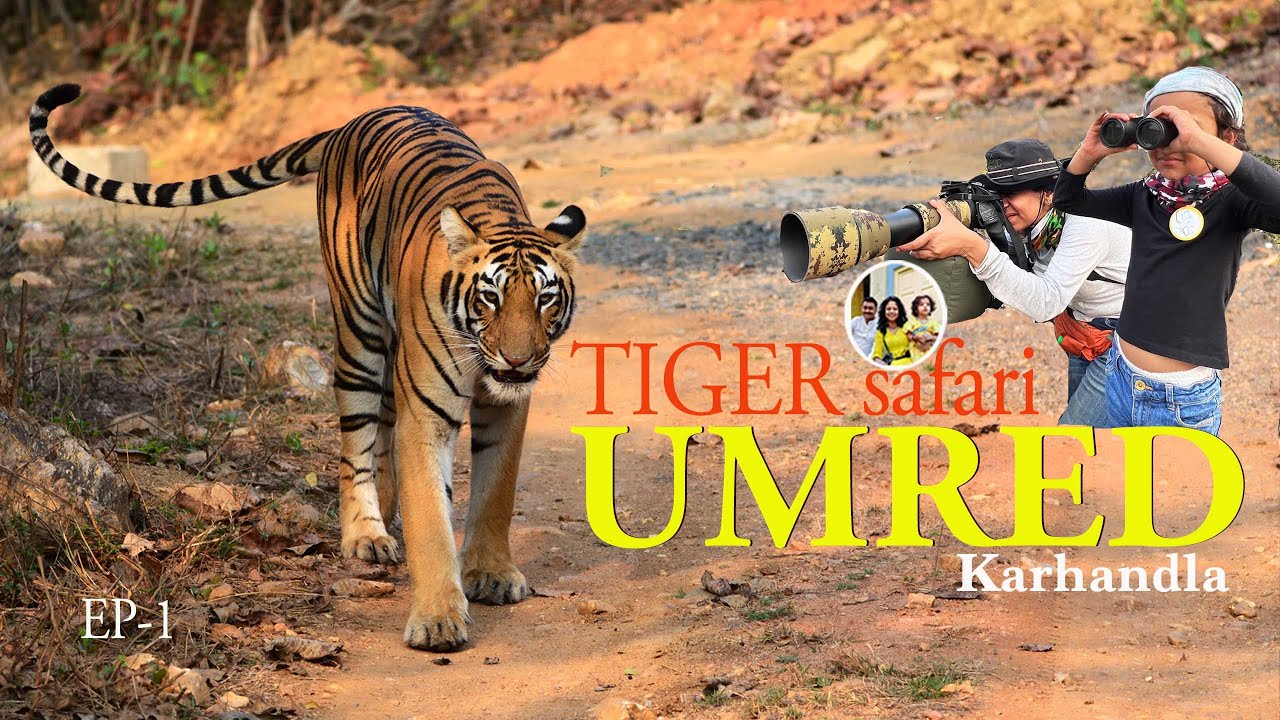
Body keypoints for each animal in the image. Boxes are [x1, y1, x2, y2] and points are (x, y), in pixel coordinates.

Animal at [29, 84, 586, 652]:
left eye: (544, 298)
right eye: (490, 297)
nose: (519, 358)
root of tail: (349, 123)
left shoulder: (506, 405)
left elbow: (496, 491)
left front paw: (491, 575)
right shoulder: (429, 411)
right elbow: (432, 516)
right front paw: (436, 620)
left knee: (384, 427)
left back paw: (385, 513)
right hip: (359, 330)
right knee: (358, 437)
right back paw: (366, 532)